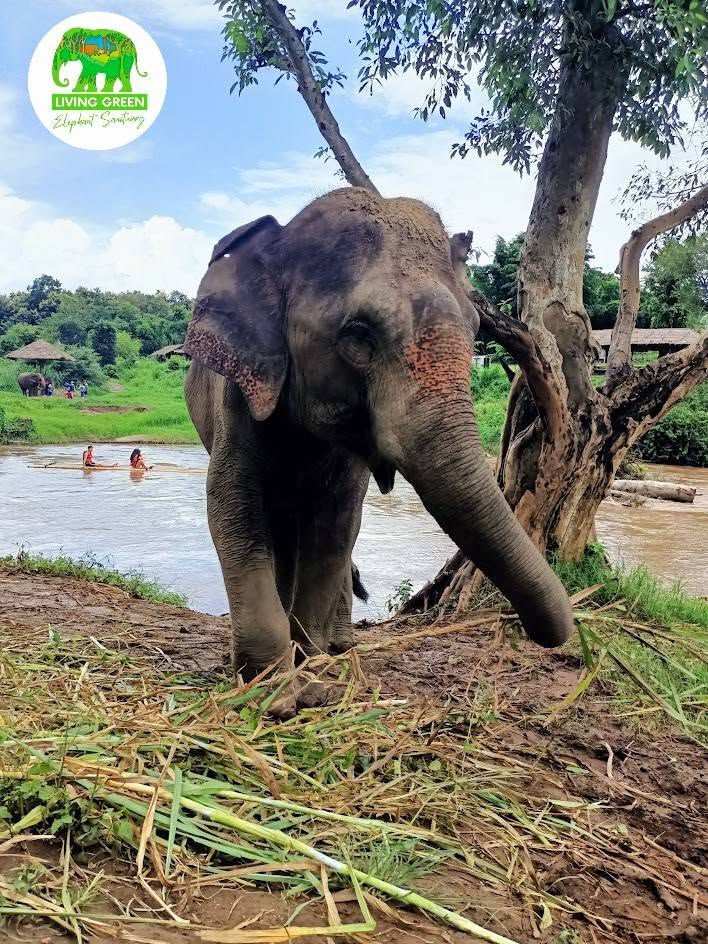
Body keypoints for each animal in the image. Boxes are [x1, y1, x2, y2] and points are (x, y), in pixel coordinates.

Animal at [184, 187, 575, 716]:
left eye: (477, 327)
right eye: (358, 334)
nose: (552, 637)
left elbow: (336, 523)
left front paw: (315, 679)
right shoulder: (240, 398)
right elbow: (233, 507)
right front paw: (275, 695)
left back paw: (338, 646)